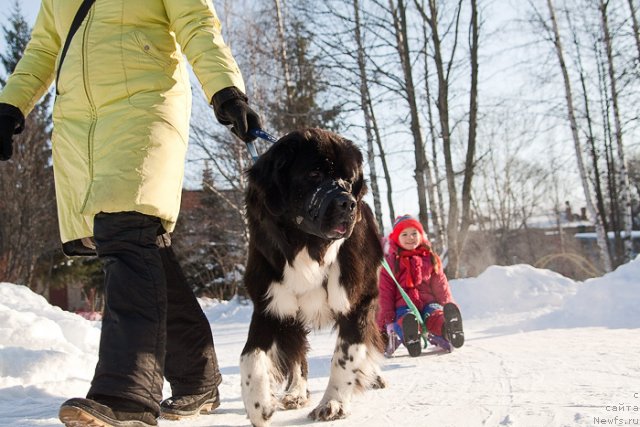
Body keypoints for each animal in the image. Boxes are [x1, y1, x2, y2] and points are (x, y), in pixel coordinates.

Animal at [241, 129, 384, 426]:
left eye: (350, 179)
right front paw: (258, 405)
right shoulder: (270, 304)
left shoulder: (359, 300)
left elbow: (346, 355)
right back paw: (296, 392)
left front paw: (333, 403)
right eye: (314, 174)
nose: (348, 203)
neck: (307, 245)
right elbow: (250, 355)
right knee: (297, 354)